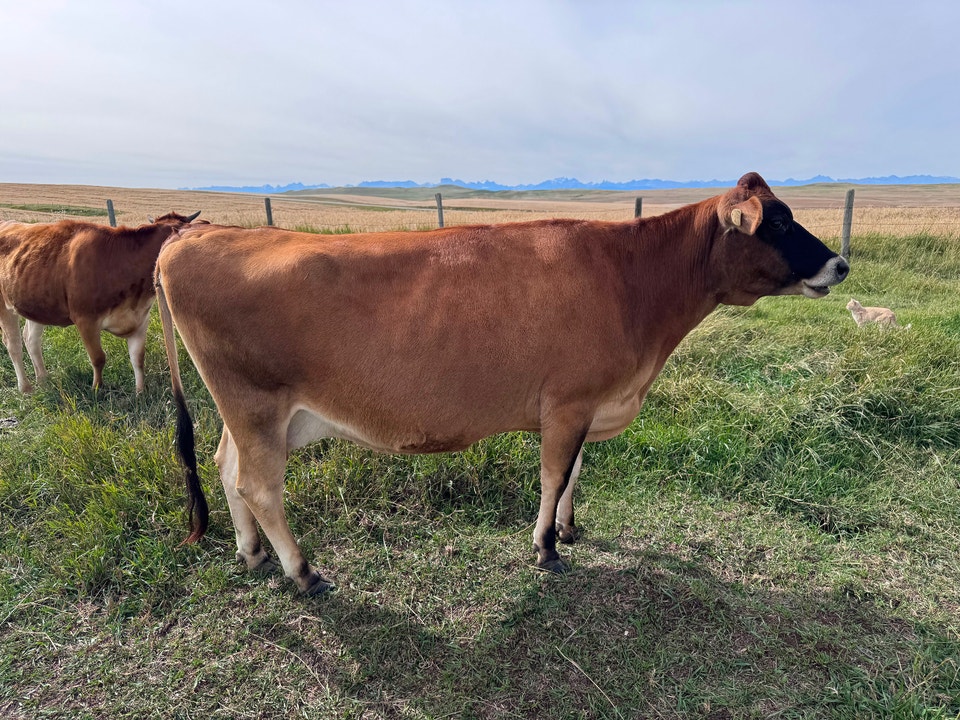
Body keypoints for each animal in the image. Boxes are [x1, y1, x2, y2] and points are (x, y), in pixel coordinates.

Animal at [0, 211, 201, 394]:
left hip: (37, 305)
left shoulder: (140, 318)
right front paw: (97, 389)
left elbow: (138, 358)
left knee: (31, 340)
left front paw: (140, 393)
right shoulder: (85, 319)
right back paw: (26, 388)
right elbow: (98, 358)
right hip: (5, 307)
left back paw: (43, 380)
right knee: (14, 345)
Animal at [155, 172, 848, 595]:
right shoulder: (568, 401)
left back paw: (252, 553)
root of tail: (194, 235)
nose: (841, 264)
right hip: (256, 404)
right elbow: (554, 475)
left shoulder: (582, 405)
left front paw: (569, 528)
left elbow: (573, 474)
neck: (632, 279)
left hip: (251, 413)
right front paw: (545, 547)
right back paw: (302, 572)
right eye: (776, 224)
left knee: (226, 468)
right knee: (259, 485)